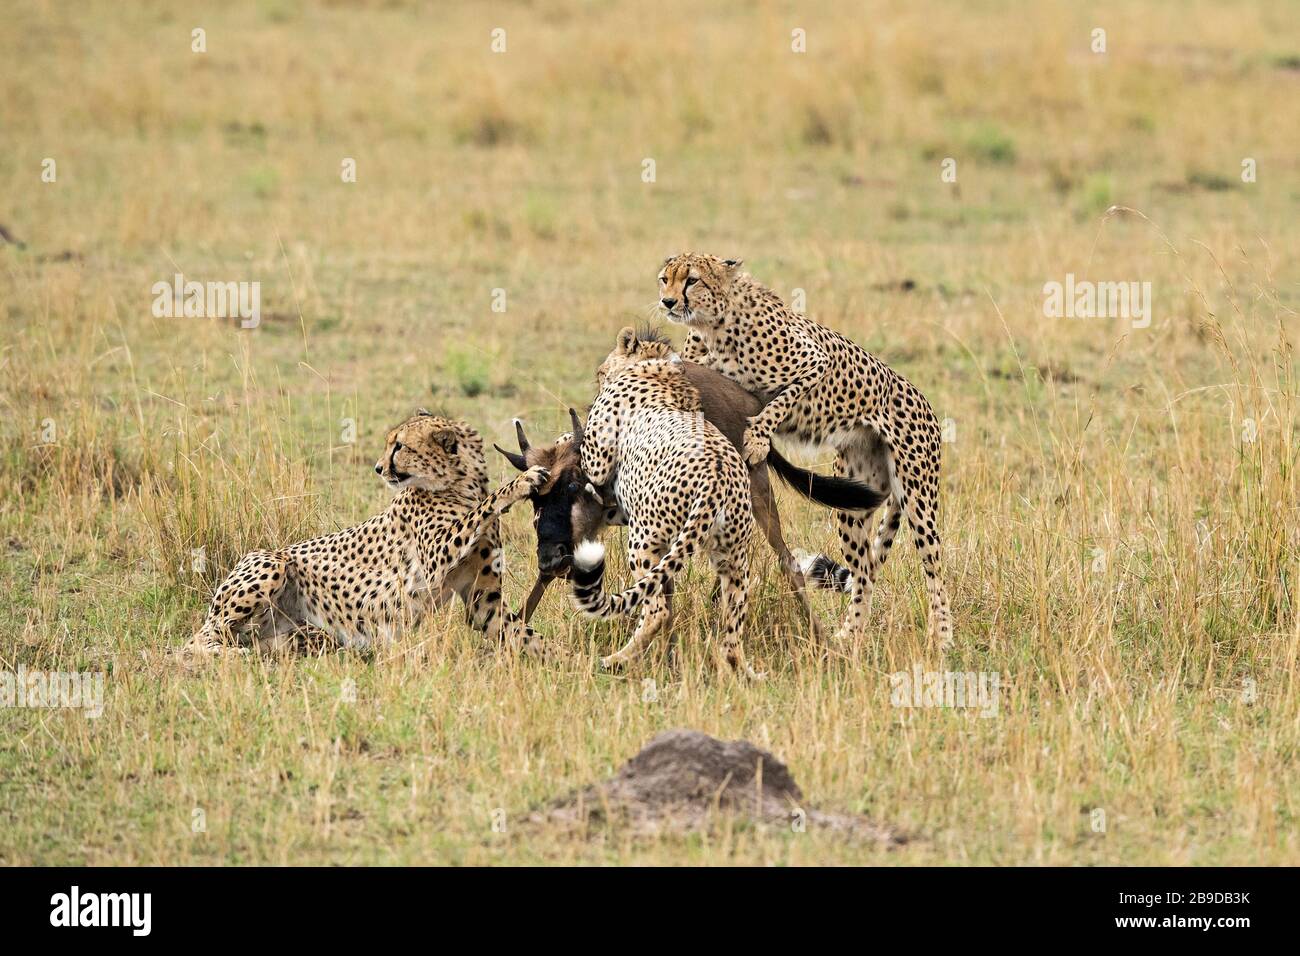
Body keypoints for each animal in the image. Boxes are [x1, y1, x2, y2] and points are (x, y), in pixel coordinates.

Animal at [189, 411, 548, 658]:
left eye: (400, 446)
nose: (378, 468)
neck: (460, 485)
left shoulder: (483, 601)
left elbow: (522, 632)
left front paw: (556, 662)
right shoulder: (435, 559)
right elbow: (482, 509)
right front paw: (521, 483)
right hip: (271, 562)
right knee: (197, 640)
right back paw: (230, 654)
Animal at [569, 356, 759, 676]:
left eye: (601, 371)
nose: (596, 383)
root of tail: (718, 480)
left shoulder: (599, 460)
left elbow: (589, 463)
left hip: (643, 542)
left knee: (657, 609)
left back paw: (617, 659)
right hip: (733, 560)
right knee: (732, 629)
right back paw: (741, 670)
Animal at [660, 254, 956, 647]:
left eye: (691, 280)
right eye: (665, 279)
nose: (667, 301)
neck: (714, 323)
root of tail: (925, 403)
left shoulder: (815, 362)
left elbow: (782, 400)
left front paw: (757, 439)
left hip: (918, 498)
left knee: (933, 568)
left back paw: (942, 636)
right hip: (853, 504)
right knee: (864, 572)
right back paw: (850, 634)